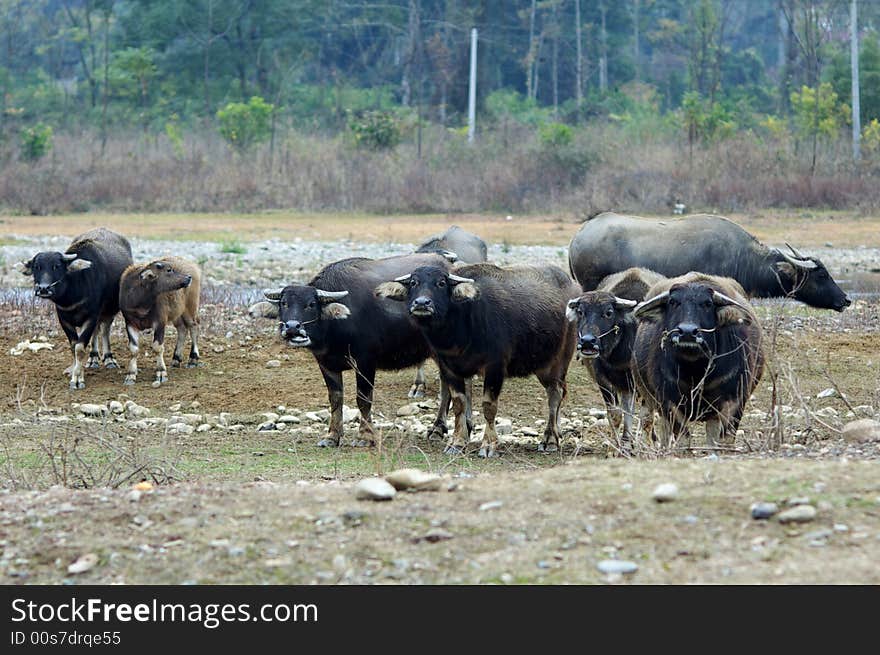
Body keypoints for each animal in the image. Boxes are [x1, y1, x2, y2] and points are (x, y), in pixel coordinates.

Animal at [264, 254, 460, 448]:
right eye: (284, 303)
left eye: (311, 304)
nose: (292, 328)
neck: (336, 326)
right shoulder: (326, 364)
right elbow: (335, 398)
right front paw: (332, 436)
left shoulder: (365, 362)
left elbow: (363, 399)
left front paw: (364, 437)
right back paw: (437, 429)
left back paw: (437, 429)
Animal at [376, 262, 576, 456]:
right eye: (413, 282)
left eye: (441, 283)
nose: (422, 303)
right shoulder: (449, 367)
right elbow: (459, 404)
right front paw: (457, 442)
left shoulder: (495, 367)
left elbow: (489, 406)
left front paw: (489, 445)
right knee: (557, 392)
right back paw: (557, 432)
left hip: (558, 360)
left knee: (555, 394)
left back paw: (550, 439)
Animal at [632, 272, 764, 452]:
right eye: (673, 302)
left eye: (707, 303)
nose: (687, 332)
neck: (696, 371)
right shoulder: (669, 402)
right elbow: (682, 437)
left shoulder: (735, 400)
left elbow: (725, 439)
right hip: (648, 398)